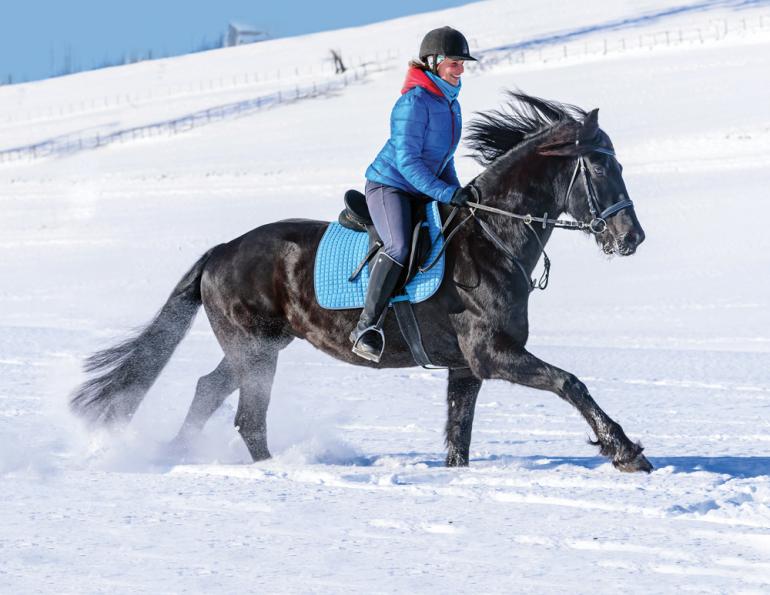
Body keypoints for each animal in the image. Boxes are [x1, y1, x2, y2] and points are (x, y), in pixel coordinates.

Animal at [70, 92, 652, 473]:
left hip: (259, 347)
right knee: (247, 416)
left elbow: (458, 438)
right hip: (255, 349)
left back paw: (180, 453)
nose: (632, 238)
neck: (491, 239)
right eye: (602, 167)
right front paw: (625, 451)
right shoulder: (492, 354)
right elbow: (569, 382)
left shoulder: (466, 368)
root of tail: (220, 252)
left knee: (209, 389)